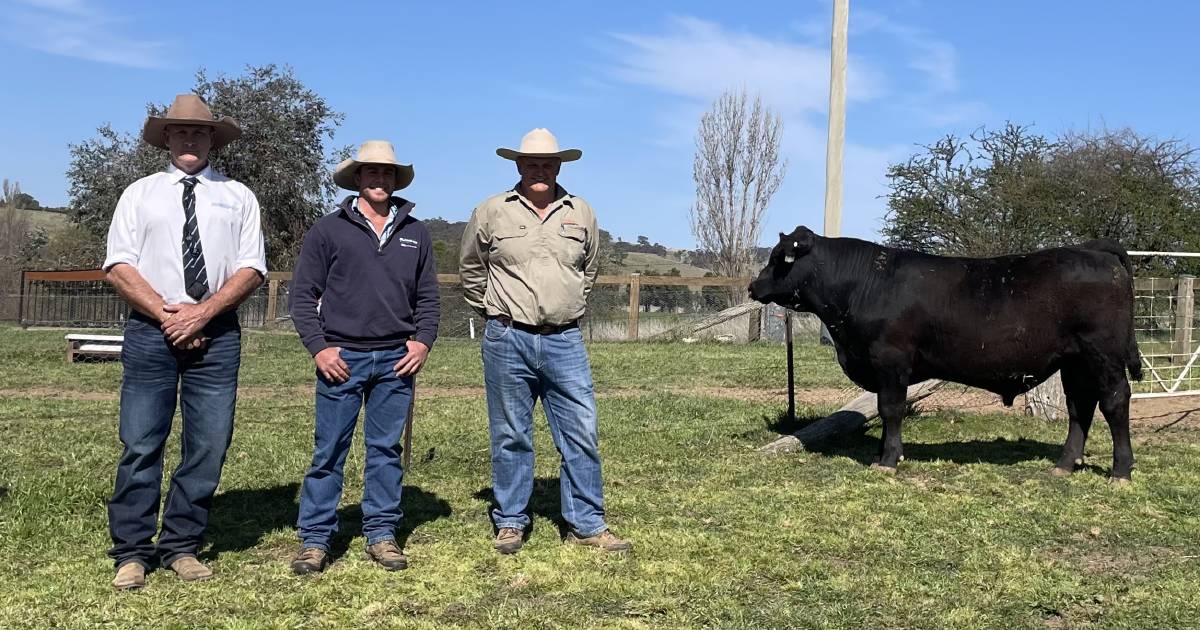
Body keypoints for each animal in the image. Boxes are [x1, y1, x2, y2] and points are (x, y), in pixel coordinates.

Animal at [748, 223, 1142, 480]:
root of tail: (1092, 248)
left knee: (1114, 401)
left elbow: (890, 409)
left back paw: (1120, 471)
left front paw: (888, 459)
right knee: (1080, 408)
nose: (753, 286)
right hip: (1075, 361)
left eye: (779, 258)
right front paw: (882, 453)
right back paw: (1063, 465)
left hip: (1103, 353)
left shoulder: (890, 361)